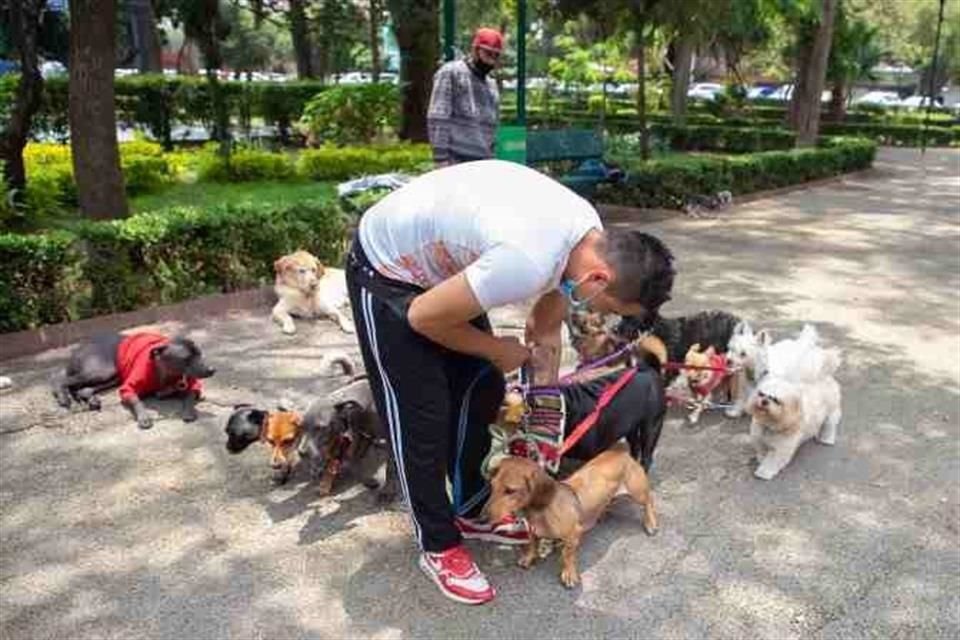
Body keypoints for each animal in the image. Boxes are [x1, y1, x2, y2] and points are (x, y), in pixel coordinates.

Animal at [53, 330, 215, 430]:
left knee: (83, 390)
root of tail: (78, 349)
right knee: (60, 380)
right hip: (102, 371)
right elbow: (137, 400)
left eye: (199, 354)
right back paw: (63, 397)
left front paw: (188, 411)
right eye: (186, 358)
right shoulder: (127, 388)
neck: (166, 373)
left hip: (112, 377)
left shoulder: (193, 386)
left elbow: (189, 396)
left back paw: (92, 400)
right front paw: (144, 417)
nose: (212, 369)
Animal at [484, 444, 656, 592]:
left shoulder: (574, 534)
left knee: (649, 501)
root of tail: (622, 453)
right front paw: (528, 558)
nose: (482, 517)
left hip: (637, 492)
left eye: (510, 490)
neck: (541, 511)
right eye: (492, 485)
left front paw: (569, 574)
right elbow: (532, 544)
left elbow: (567, 555)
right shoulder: (533, 531)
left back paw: (651, 523)